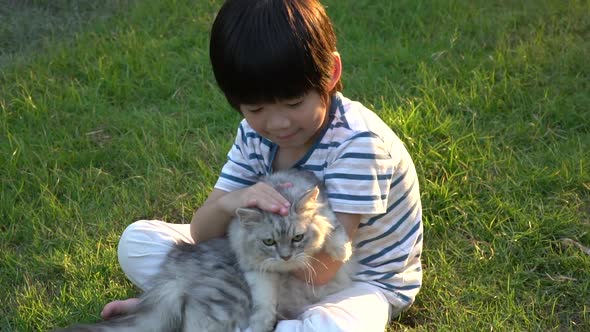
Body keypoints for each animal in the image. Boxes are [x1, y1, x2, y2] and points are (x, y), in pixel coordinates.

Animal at [57, 170, 356, 330]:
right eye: (268, 242)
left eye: (297, 238)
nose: (285, 256)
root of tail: (175, 271)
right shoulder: (256, 271)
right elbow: (264, 302)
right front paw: (261, 323)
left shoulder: (326, 212)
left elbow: (334, 228)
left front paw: (341, 251)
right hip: (222, 307)